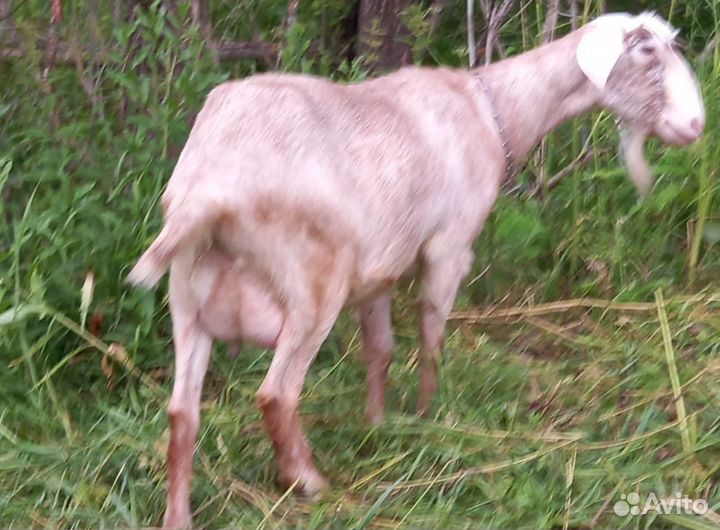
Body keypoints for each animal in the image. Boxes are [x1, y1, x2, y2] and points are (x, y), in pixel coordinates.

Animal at [128, 12, 704, 528]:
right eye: (646, 52)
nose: (697, 125)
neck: (490, 110)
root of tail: (209, 189)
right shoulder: (449, 245)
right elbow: (431, 332)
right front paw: (431, 417)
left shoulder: (379, 268)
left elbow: (380, 350)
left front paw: (378, 424)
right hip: (312, 285)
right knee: (277, 393)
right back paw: (309, 481)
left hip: (188, 295)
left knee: (182, 415)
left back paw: (178, 517)